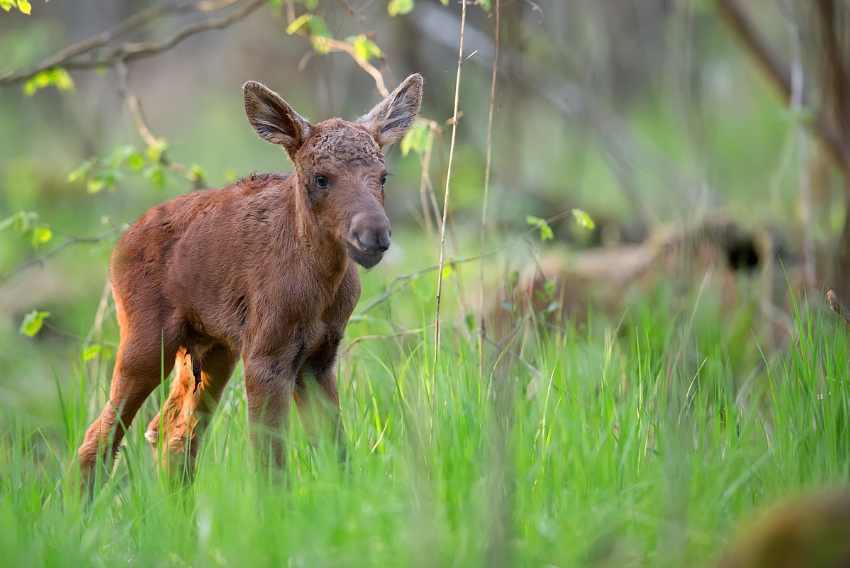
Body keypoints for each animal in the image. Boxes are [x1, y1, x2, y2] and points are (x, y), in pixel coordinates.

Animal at [78, 73, 422, 486]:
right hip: (146, 342)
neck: (321, 287)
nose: (374, 235)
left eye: (383, 176)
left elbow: (337, 454)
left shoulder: (319, 358)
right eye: (321, 178)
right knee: (100, 437)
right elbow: (270, 464)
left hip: (211, 351)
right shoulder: (266, 356)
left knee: (172, 434)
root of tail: (120, 243)